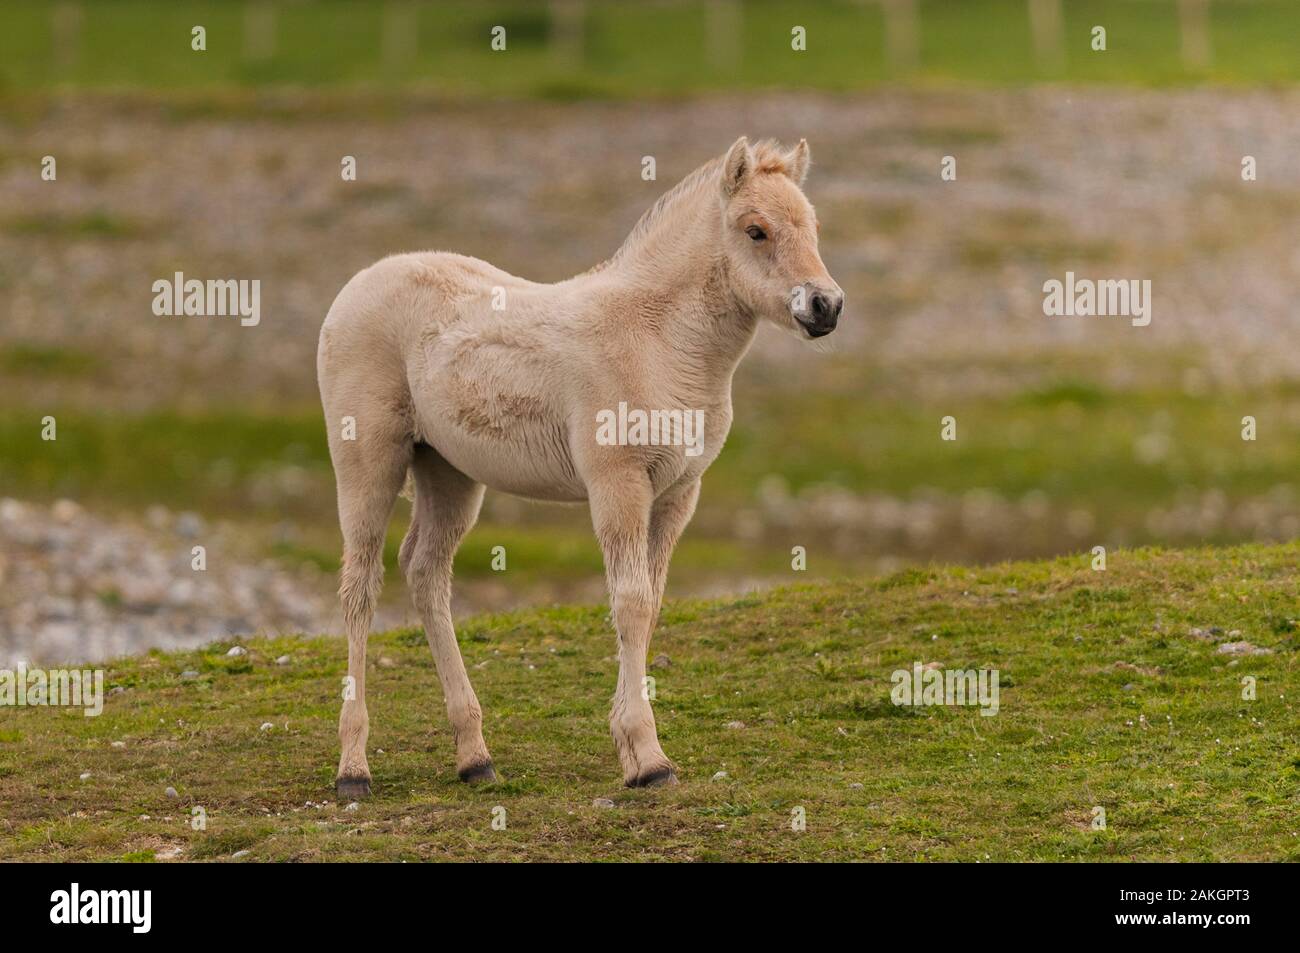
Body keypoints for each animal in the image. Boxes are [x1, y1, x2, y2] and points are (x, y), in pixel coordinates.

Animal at [315, 137, 842, 795]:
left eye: (813, 226)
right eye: (756, 230)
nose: (825, 306)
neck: (659, 339)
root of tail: (355, 285)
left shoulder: (679, 493)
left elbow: (652, 600)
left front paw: (634, 750)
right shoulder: (618, 484)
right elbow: (631, 602)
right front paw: (649, 759)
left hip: (447, 473)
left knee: (425, 572)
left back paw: (475, 756)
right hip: (368, 462)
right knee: (360, 586)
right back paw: (353, 768)